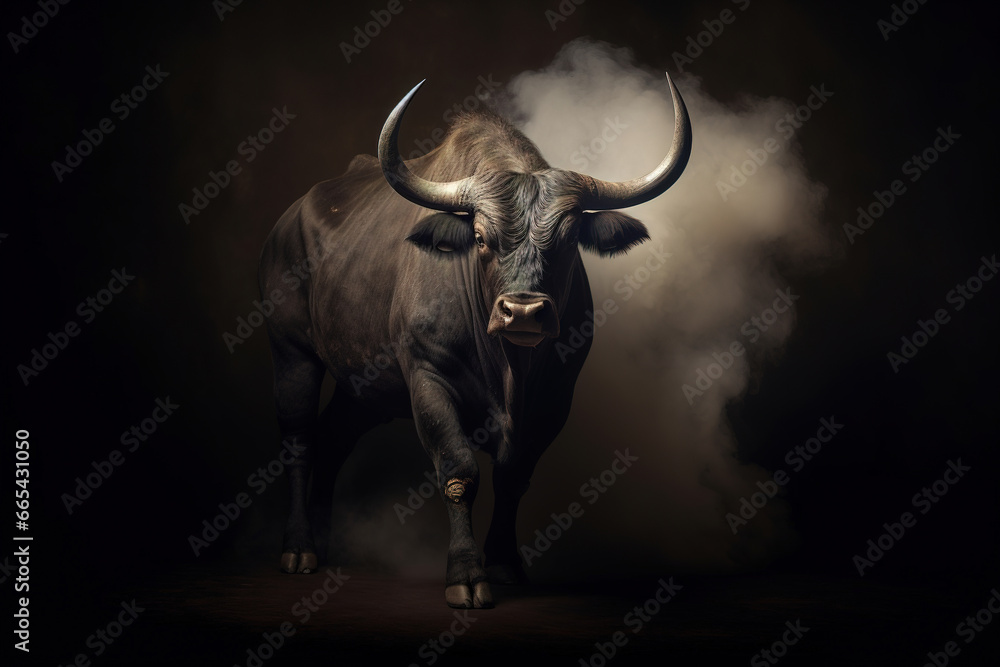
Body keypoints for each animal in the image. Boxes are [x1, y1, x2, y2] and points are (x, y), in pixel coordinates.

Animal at [258, 73, 690, 608]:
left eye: (569, 240)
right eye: (481, 238)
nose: (523, 311)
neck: (509, 369)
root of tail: (287, 223)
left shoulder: (556, 396)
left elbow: (514, 477)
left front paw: (504, 563)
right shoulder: (427, 377)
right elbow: (460, 470)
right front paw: (466, 574)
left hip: (363, 386)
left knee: (334, 438)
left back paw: (324, 540)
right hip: (292, 353)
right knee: (299, 438)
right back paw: (299, 548)